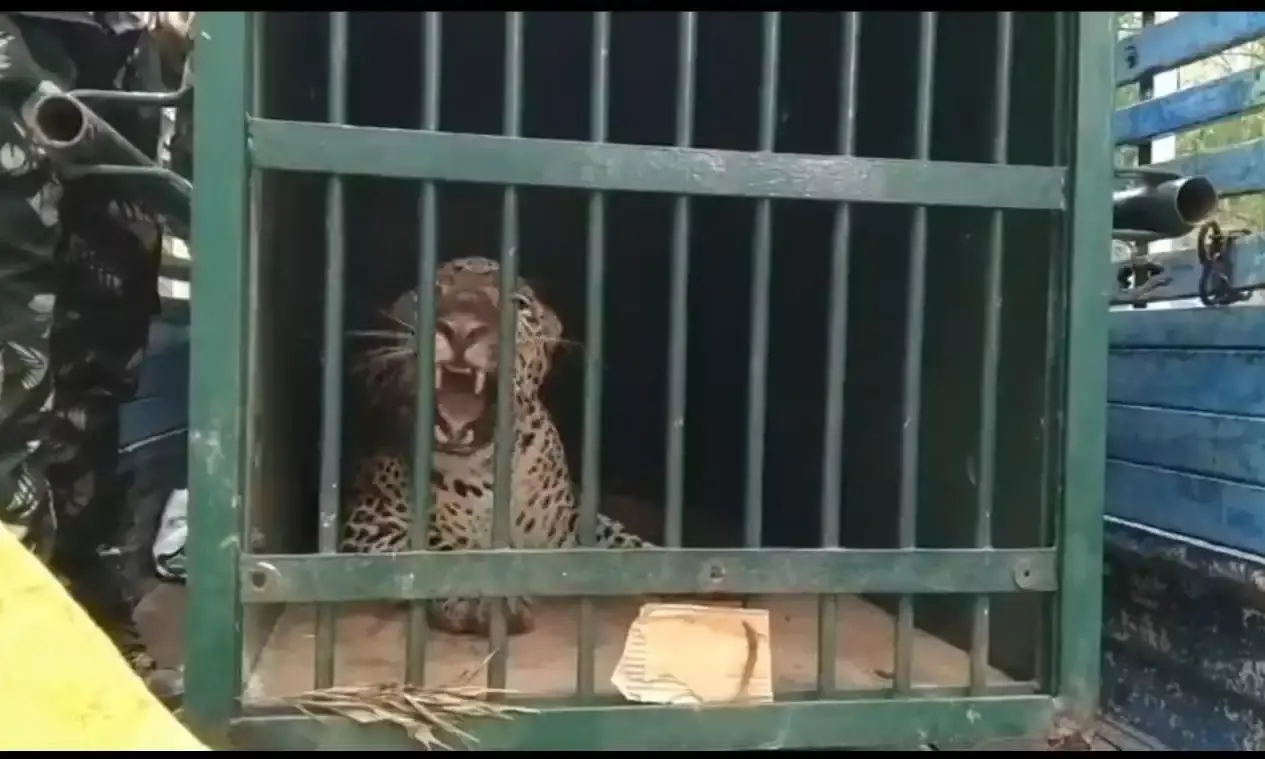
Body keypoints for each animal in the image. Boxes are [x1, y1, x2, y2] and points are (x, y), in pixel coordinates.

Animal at [340, 256, 652, 637]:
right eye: (435, 290)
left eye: (517, 304)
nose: (461, 328)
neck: (487, 465)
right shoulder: (371, 519)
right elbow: (434, 546)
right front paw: (481, 598)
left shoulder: (567, 520)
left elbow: (621, 543)